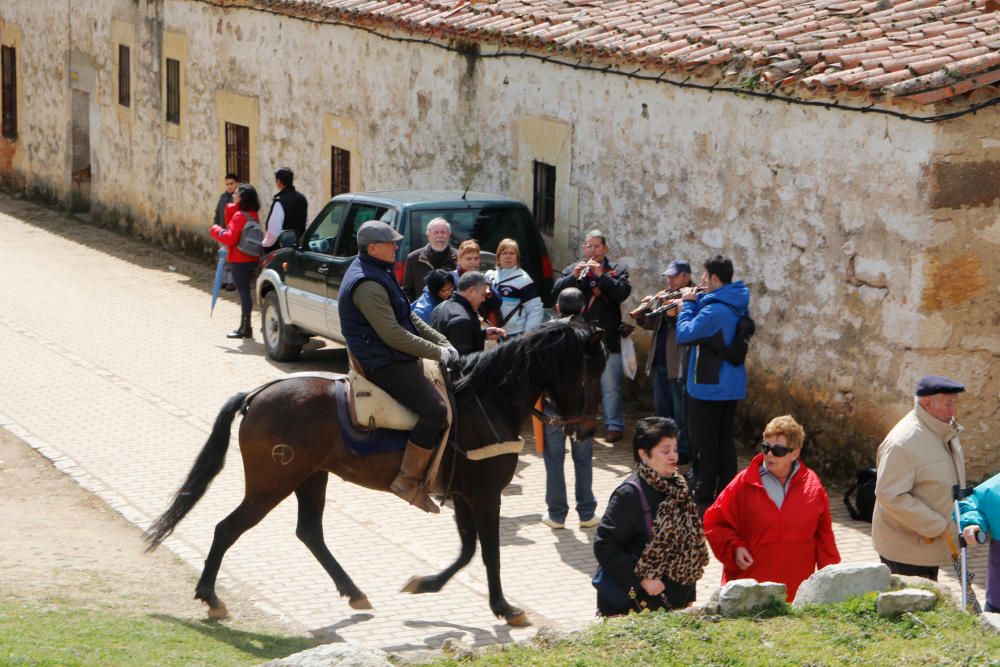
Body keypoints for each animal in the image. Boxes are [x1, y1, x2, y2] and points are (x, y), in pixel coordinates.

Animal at [145, 320, 604, 628]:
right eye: (592, 371)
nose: (588, 429)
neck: (488, 399)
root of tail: (257, 395)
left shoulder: (463, 495)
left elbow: (467, 550)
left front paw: (425, 584)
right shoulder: (484, 495)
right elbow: (488, 552)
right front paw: (505, 609)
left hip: (310, 478)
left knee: (309, 532)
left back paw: (354, 592)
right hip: (270, 486)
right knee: (227, 529)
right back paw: (210, 596)